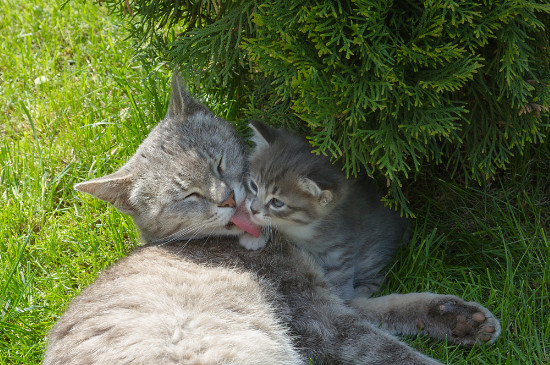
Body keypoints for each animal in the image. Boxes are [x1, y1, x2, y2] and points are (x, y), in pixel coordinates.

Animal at [242, 121, 410, 300]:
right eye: (253, 186)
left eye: (277, 202)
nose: (253, 209)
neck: (299, 227)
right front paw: (255, 235)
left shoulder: (342, 245)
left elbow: (340, 274)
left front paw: (340, 298)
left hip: (373, 253)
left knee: (377, 279)